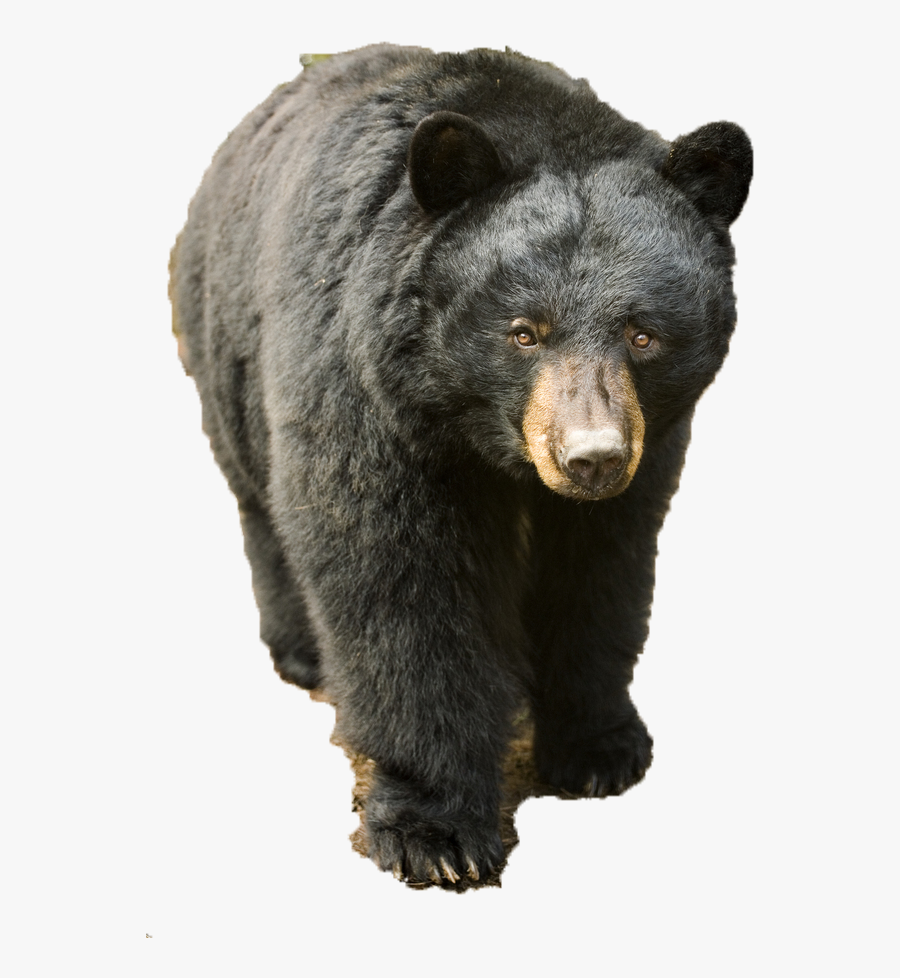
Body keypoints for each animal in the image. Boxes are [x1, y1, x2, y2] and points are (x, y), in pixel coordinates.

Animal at [169, 44, 752, 889]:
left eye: (643, 334)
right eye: (523, 331)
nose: (591, 457)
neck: (480, 436)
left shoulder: (647, 454)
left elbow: (600, 569)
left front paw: (600, 747)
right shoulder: (369, 394)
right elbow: (397, 583)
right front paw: (434, 829)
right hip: (222, 346)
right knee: (264, 504)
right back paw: (304, 652)